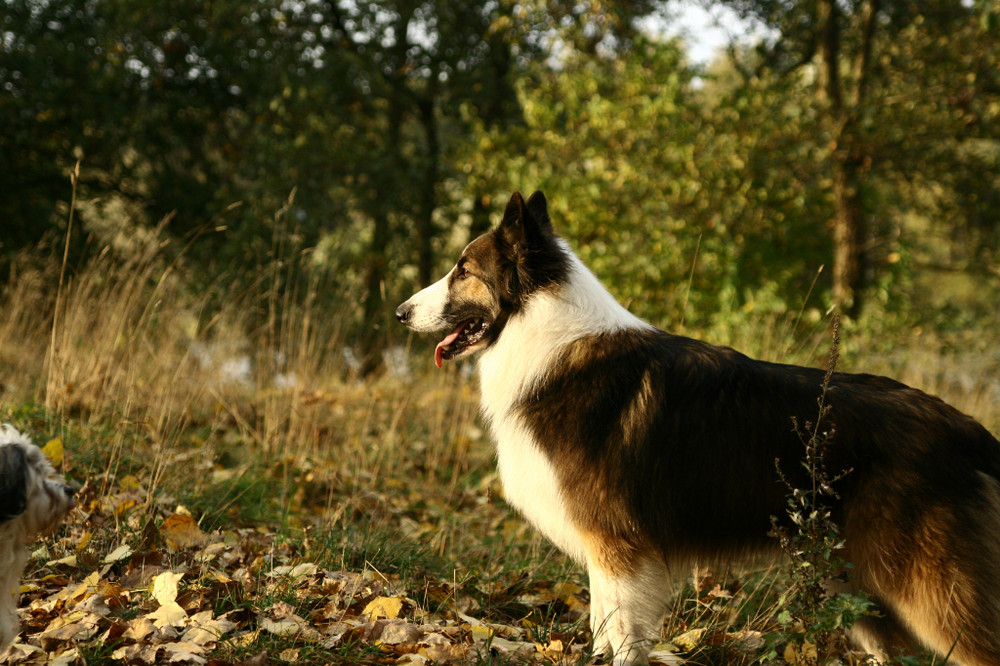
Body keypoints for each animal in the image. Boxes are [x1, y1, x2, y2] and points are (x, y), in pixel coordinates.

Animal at [394, 189, 1000, 660]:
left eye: (464, 271)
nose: (401, 313)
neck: (546, 334)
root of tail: (965, 427)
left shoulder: (618, 548)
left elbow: (620, 638)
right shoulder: (607, 551)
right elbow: (602, 632)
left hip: (924, 588)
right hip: (854, 582)